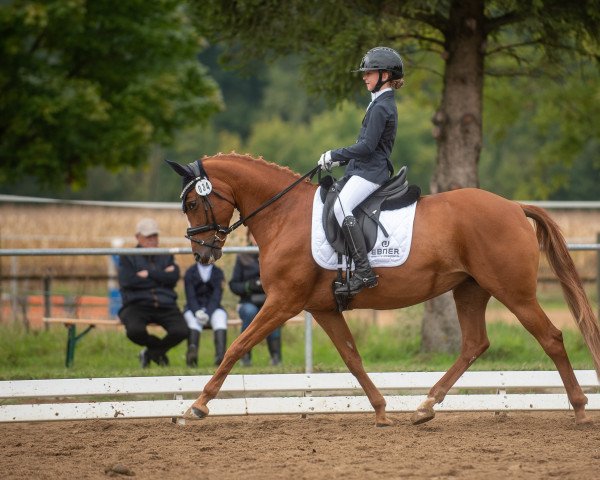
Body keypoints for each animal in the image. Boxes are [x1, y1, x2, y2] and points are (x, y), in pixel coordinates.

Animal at [166, 152, 600, 426]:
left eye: (193, 204)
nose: (202, 254)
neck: (284, 214)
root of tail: (513, 206)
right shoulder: (323, 308)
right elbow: (353, 358)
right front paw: (380, 410)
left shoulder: (283, 301)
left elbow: (237, 346)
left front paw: (197, 407)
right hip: (470, 290)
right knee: (475, 344)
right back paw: (425, 407)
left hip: (514, 292)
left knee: (551, 337)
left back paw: (580, 408)